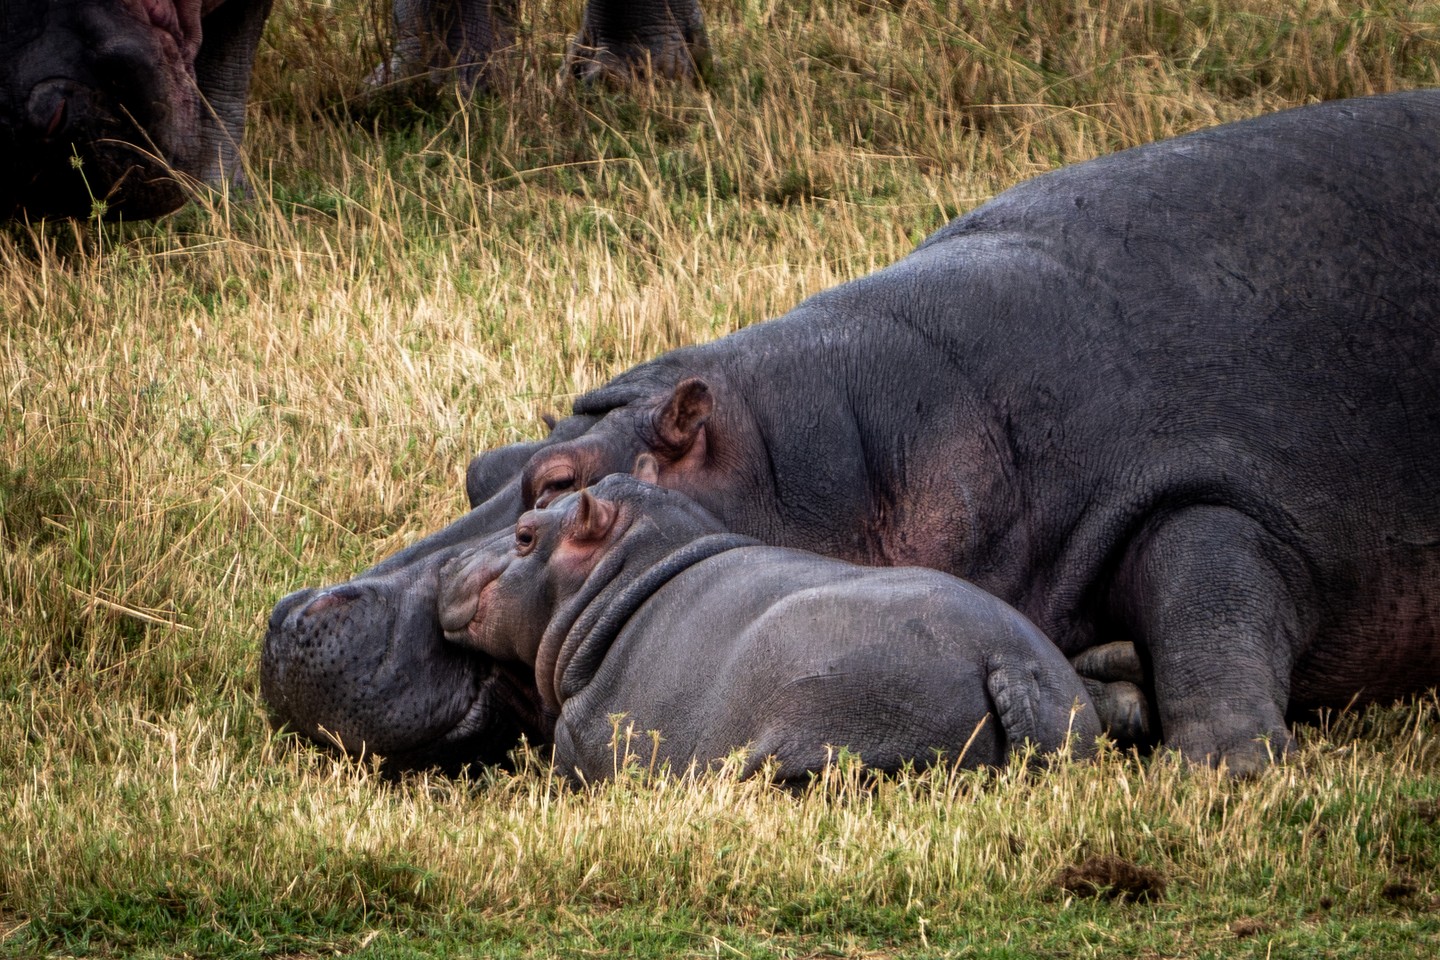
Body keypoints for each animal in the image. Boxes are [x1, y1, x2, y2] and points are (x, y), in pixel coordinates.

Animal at [427, 463, 1104, 782]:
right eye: (542, 501)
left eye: (525, 533)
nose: (447, 564)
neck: (632, 569)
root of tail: (1007, 660)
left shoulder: (580, 739)